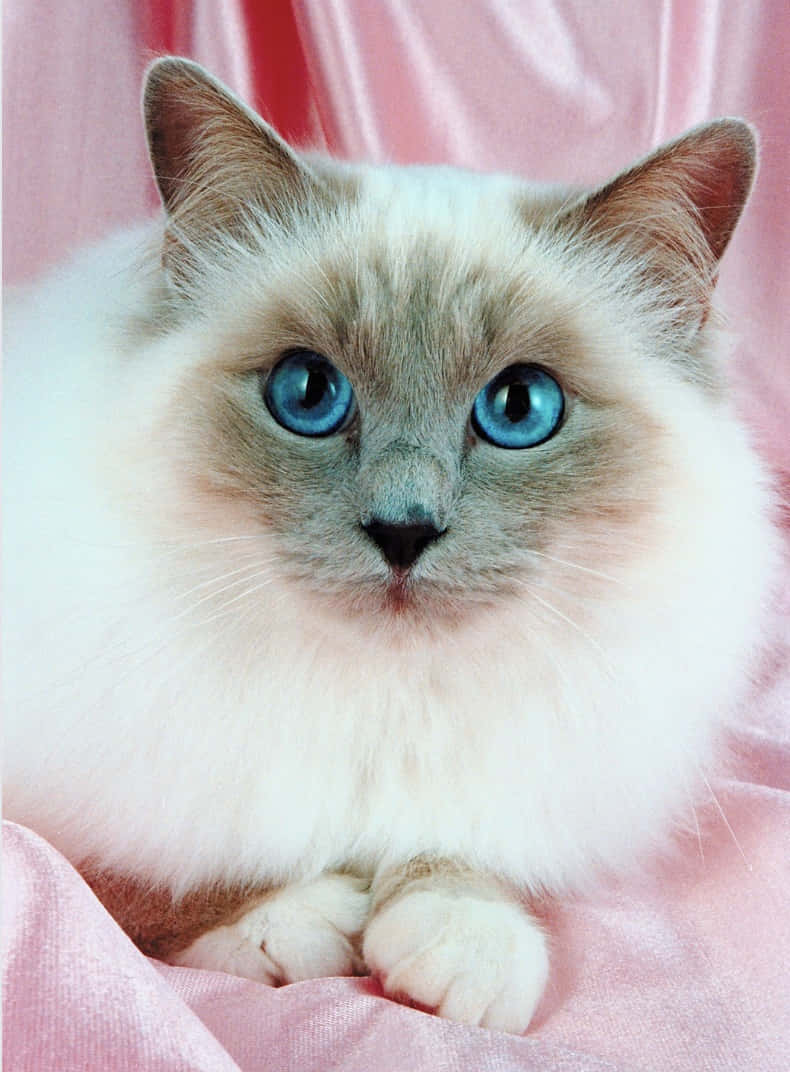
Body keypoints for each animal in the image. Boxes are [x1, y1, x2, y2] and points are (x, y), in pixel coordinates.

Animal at [0, 56, 776, 1029]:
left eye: (520, 407)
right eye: (306, 392)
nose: (403, 529)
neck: (379, 694)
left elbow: (463, 854)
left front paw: (461, 943)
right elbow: (120, 872)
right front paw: (286, 919)